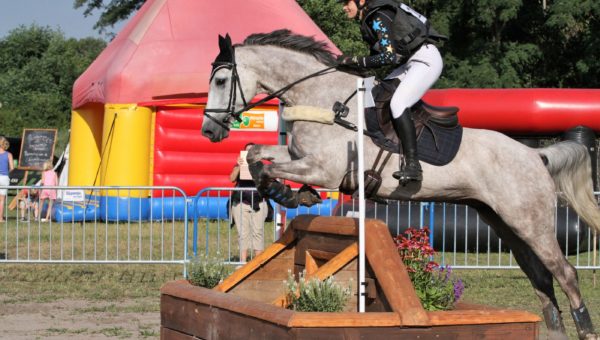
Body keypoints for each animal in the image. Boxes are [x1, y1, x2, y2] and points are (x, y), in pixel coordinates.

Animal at [204, 30, 600, 338]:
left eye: (221, 82)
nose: (209, 130)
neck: (322, 98)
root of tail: (536, 155)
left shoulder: (323, 169)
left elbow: (269, 167)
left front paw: (286, 192)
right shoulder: (298, 154)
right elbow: (255, 153)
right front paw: (293, 193)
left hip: (529, 222)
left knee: (564, 272)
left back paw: (585, 328)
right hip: (505, 223)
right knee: (541, 277)